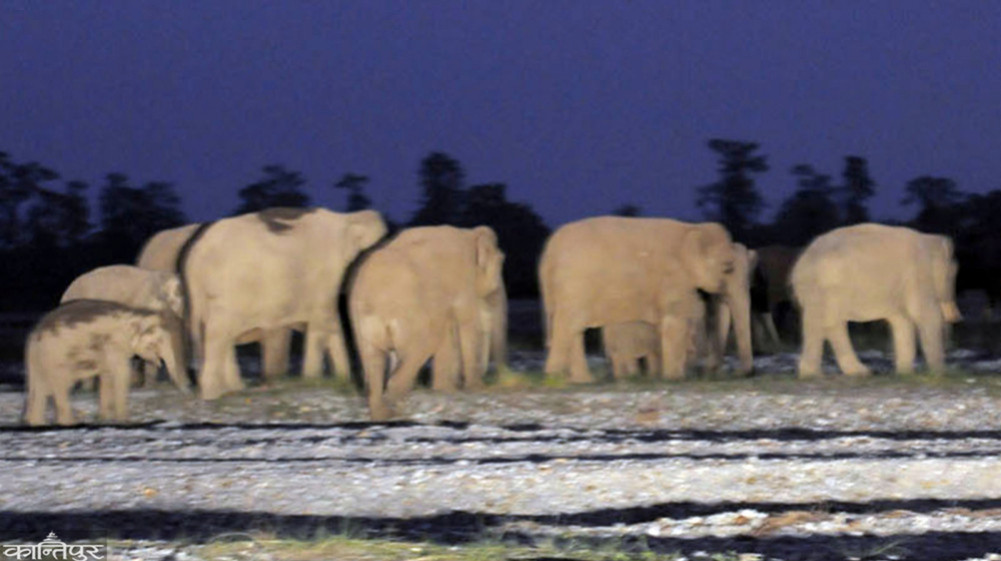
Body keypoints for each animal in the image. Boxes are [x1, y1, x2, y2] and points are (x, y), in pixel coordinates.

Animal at [23, 299, 189, 425]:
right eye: (159, 341)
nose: (185, 392)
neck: (136, 313)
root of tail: (33, 336)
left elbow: (107, 376)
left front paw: (104, 419)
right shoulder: (114, 343)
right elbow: (122, 373)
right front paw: (124, 421)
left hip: (40, 361)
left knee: (41, 388)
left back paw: (36, 423)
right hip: (55, 357)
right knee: (60, 386)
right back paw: (69, 423)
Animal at [181, 207, 387, 400]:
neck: (349, 218)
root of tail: (194, 256)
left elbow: (332, 325)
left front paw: (342, 379)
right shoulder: (326, 275)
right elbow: (322, 323)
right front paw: (312, 380)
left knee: (219, 332)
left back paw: (233, 390)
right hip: (229, 289)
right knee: (218, 332)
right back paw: (213, 394)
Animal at [349, 225, 505, 420]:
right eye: (501, 262)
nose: (494, 381)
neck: (469, 233)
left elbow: (448, 330)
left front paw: (447, 390)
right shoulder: (462, 282)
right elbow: (466, 323)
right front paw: (474, 389)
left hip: (362, 324)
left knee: (374, 363)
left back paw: (382, 414)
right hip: (407, 315)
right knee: (421, 346)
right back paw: (398, 409)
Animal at [540, 216, 740, 383]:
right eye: (728, 267)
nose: (713, 373)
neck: (692, 228)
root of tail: (549, 251)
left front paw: (669, 377)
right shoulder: (672, 278)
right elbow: (674, 321)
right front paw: (675, 379)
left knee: (574, 329)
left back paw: (583, 380)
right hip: (574, 285)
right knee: (569, 324)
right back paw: (555, 377)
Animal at [791, 223, 961, 377]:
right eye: (953, 275)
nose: (957, 319)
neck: (930, 240)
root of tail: (800, 265)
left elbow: (902, 321)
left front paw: (904, 374)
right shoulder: (919, 276)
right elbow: (926, 316)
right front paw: (940, 374)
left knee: (831, 324)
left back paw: (858, 372)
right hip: (825, 289)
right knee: (822, 323)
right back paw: (813, 374)